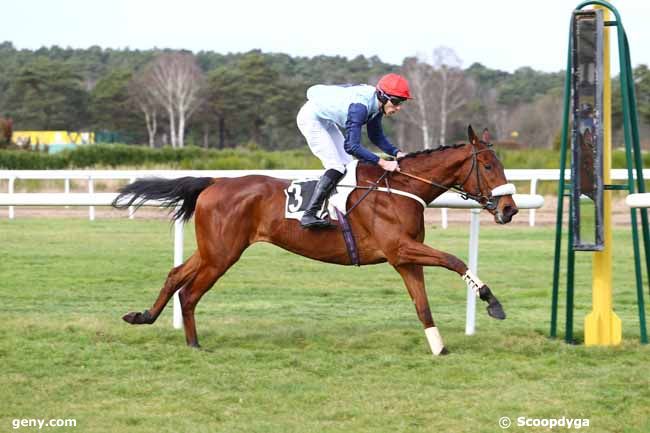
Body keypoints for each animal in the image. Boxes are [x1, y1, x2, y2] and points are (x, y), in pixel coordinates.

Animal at [112, 125, 516, 354]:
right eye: (489, 165)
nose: (510, 208)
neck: (400, 189)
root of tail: (214, 181)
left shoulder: (404, 259)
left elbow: (423, 306)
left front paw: (439, 347)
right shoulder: (401, 248)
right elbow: (455, 260)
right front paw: (493, 303)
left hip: (214, 249)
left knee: (176, 275)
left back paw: (143, 317)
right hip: (222, 254)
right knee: (190, 292)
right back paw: (194, 344)